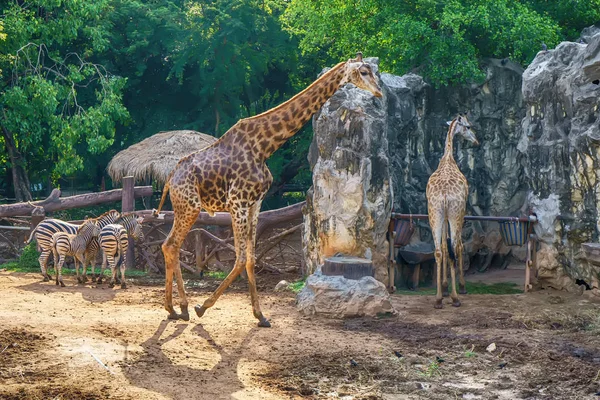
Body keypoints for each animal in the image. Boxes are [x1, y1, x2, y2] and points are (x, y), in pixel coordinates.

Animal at [152, 53, 382, 326]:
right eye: (364, 72)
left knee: (171, 245)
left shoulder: (254, 204)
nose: (379, 92)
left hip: (185, 207)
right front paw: (203, 307)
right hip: (190, 206)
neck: (264, 147)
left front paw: (260, 315)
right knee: (171, 245)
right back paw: (179, 307)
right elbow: (241, 258)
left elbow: (251, 258)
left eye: (374, 71)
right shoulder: (237, 202)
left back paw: (179, 308)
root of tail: (170, 179)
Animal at [426, 112, 478, 310]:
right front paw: (460, 287)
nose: (476, 141)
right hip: (455, 213)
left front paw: (444, 287)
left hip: (434, 213)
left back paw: (439, 299)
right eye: (468, 127)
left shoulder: (444, 216)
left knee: (438, 251)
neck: (448, 158)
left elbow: (443, 246)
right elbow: (458, 247)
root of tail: (445, 195)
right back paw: (456, 298)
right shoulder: (461, 212)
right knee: (454, 248)